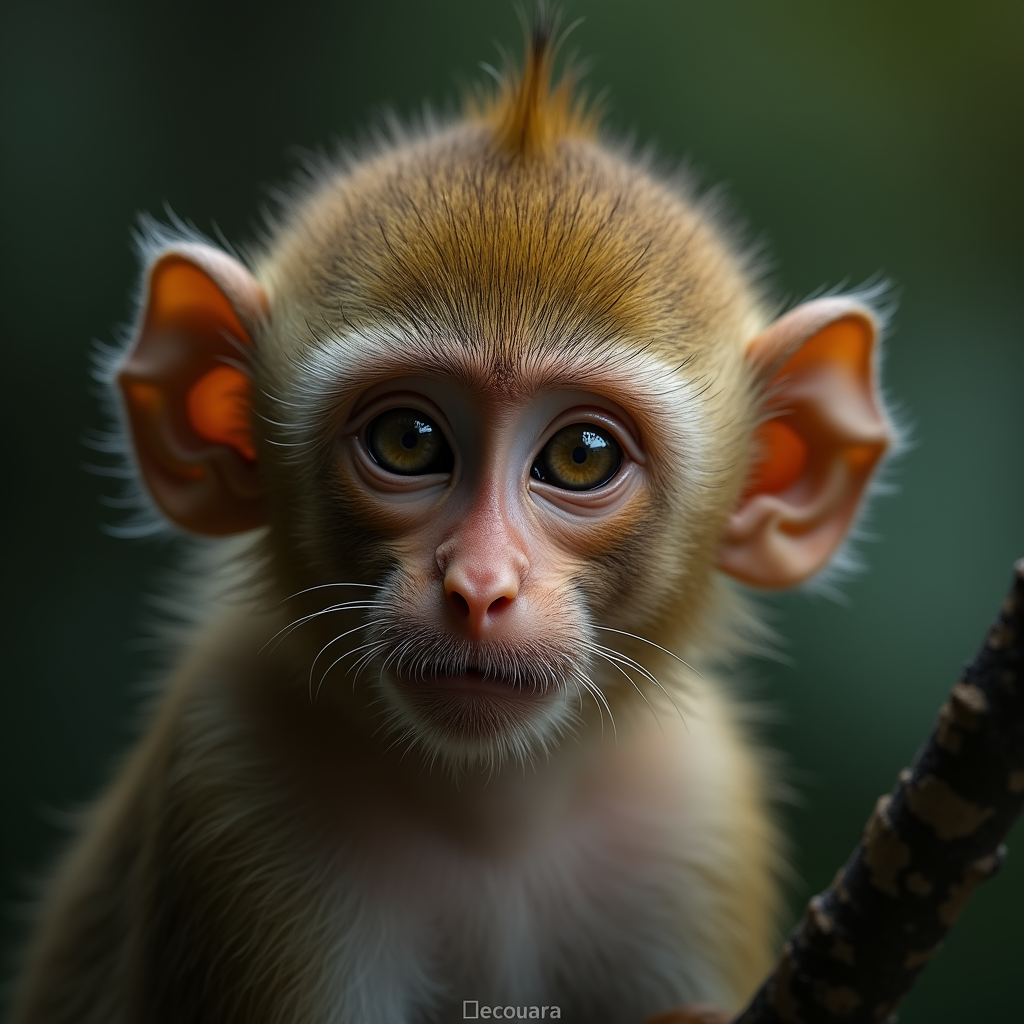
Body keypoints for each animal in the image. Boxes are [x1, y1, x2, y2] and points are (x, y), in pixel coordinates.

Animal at [10, 17, 893, 1024]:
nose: (480, 585)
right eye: (409, 440)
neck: (490, 816)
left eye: (581, 455)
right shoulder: (235, 789)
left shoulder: (695, 813)